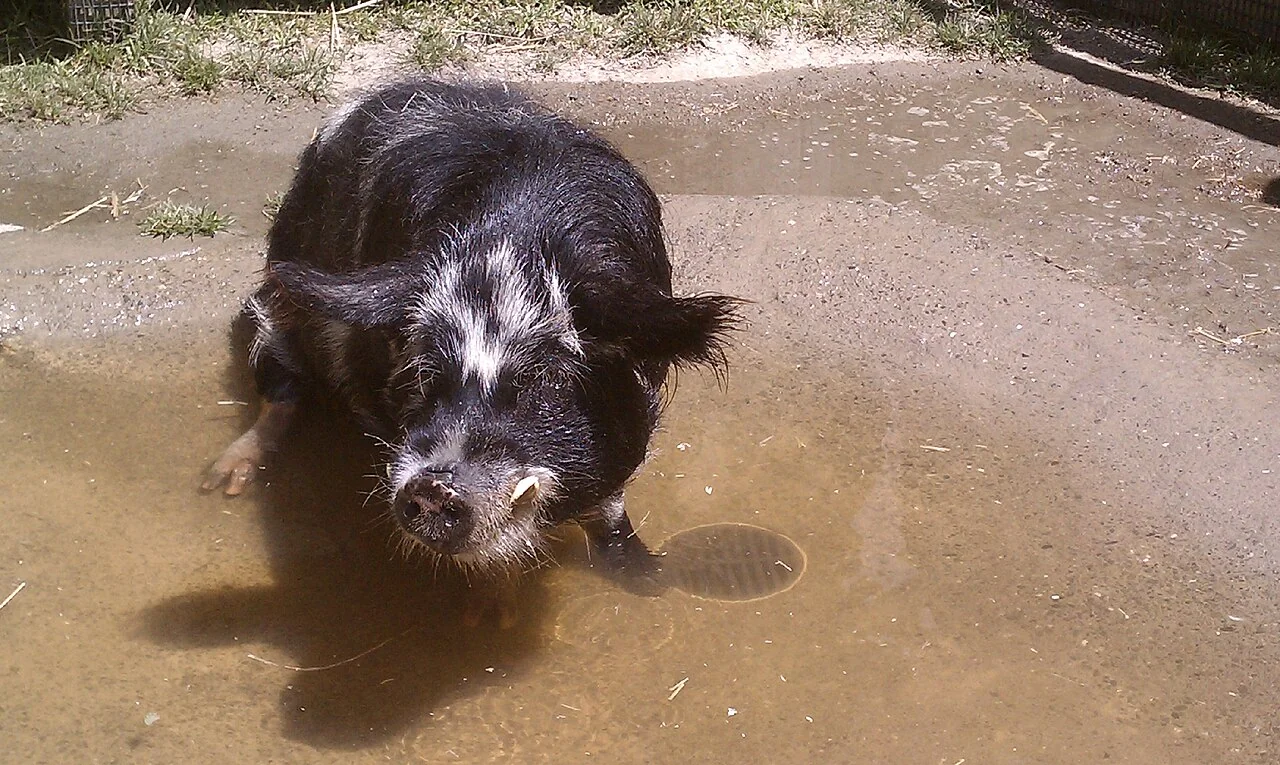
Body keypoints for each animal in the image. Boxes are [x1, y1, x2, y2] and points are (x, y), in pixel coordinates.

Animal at [202, 78, 741, 619]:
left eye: (548, 379)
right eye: (424, 372)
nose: (433, 485)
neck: (514, 237)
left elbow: (608, 504)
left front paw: (652, 583)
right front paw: (491, 617)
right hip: (273, 305)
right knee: (279, 384)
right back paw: (221, 483)